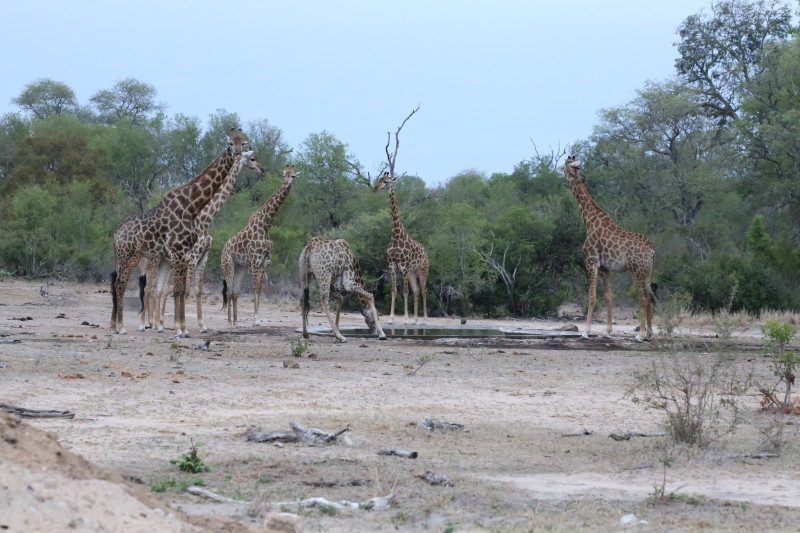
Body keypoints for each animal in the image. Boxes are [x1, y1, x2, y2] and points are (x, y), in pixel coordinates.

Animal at [110, 128, 247, 337]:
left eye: (243, 143)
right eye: (230, 143)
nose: (238, 154)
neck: (192, 205)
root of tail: (117, 233)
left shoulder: (184, 254)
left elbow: (181, 290)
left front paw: (183, 329)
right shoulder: (178, 252)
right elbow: (177, 290)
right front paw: (179, 330)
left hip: (130, 257)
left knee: (122, 284)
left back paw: (119, 326)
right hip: (130, 256)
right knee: (121, 284)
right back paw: (121, 327)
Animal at [141, 151, 265, 332]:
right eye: (252, 158)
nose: (262, 170)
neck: (204, 221)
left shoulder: (202, 257)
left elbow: (197, 290)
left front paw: (202, 325)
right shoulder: (191, 257)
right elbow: (185, 290)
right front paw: (181, 326)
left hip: (166, 262)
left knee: (159, 289)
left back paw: (158, 324)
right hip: (152, 261)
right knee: (148, 288)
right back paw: (146, 324)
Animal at [221, 165, 299, 326]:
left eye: (293, 176)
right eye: (283, 175)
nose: (286, 184)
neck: (266, 224)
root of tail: (223, 248)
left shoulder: (265, 261)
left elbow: (260, 288)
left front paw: (258, 318)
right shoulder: (256, 260)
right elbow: (255, 288)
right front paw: (255, 319)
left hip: (241, 267)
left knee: (235, 292)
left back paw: (236, 321)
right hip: (228, 264)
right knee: (229, 291)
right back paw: (229, 322)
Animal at [372, 172, 429, 324]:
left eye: (386, 181)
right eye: (379, 179)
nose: (375, 189)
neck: (396, 236)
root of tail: (426, 252)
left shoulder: (404, 267)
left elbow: (404, 291)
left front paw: (405, 318)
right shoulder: (392, 265)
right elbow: (394, 290)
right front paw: (391, 318)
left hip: (422, 269)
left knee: (423, 290)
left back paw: (424, 319)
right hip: (413, 272)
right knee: (416, 290)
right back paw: (415, 320)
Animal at [559, 157, 656, 342]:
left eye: (566, 166)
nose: (559, 168)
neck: (589, 219)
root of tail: (651, 251)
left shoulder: (591, 261)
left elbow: (592, 296)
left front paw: (585, 332)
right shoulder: (605, 268)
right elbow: (608, 297)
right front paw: (608, 331)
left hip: (635, 270)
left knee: (643, 298)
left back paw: (640, 335)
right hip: (647, 272)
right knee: (649, 296)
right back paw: (649, 334)